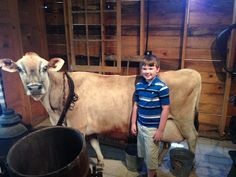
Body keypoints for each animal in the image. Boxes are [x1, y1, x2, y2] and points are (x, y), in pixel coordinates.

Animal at [0, 52, 201, 167]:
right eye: (19, 68)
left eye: (44, 67)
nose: (34, 87)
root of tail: (191, 72)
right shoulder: (88, 127)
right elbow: (95, 143)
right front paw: (101, 161)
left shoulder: (79, 126)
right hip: (168, 123)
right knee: (166, 143)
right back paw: (158, 161)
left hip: (184, 120)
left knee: (192, 138)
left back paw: (191, 164)